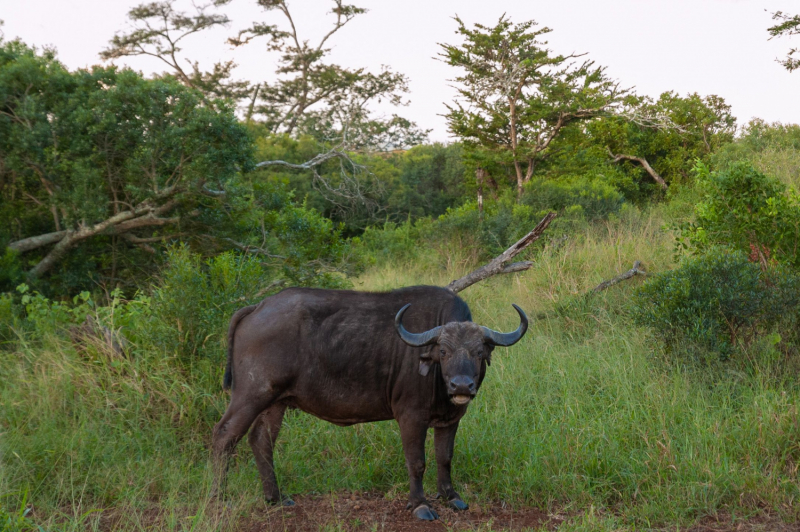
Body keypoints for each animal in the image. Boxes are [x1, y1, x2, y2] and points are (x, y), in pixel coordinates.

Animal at [212, 284, 524, 520]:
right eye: (444, 352)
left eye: (479, 351)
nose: (461, 386)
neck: (434, 370)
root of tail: (257, 307)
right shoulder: (411, 417)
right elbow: (417, 461)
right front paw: (420, 505)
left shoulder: (450, 418)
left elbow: (444, 457)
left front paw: (452, 497)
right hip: (251, 394)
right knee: (224, 436)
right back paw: (219, 498)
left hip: (276, 402)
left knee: (261, 441)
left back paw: (276, 498)